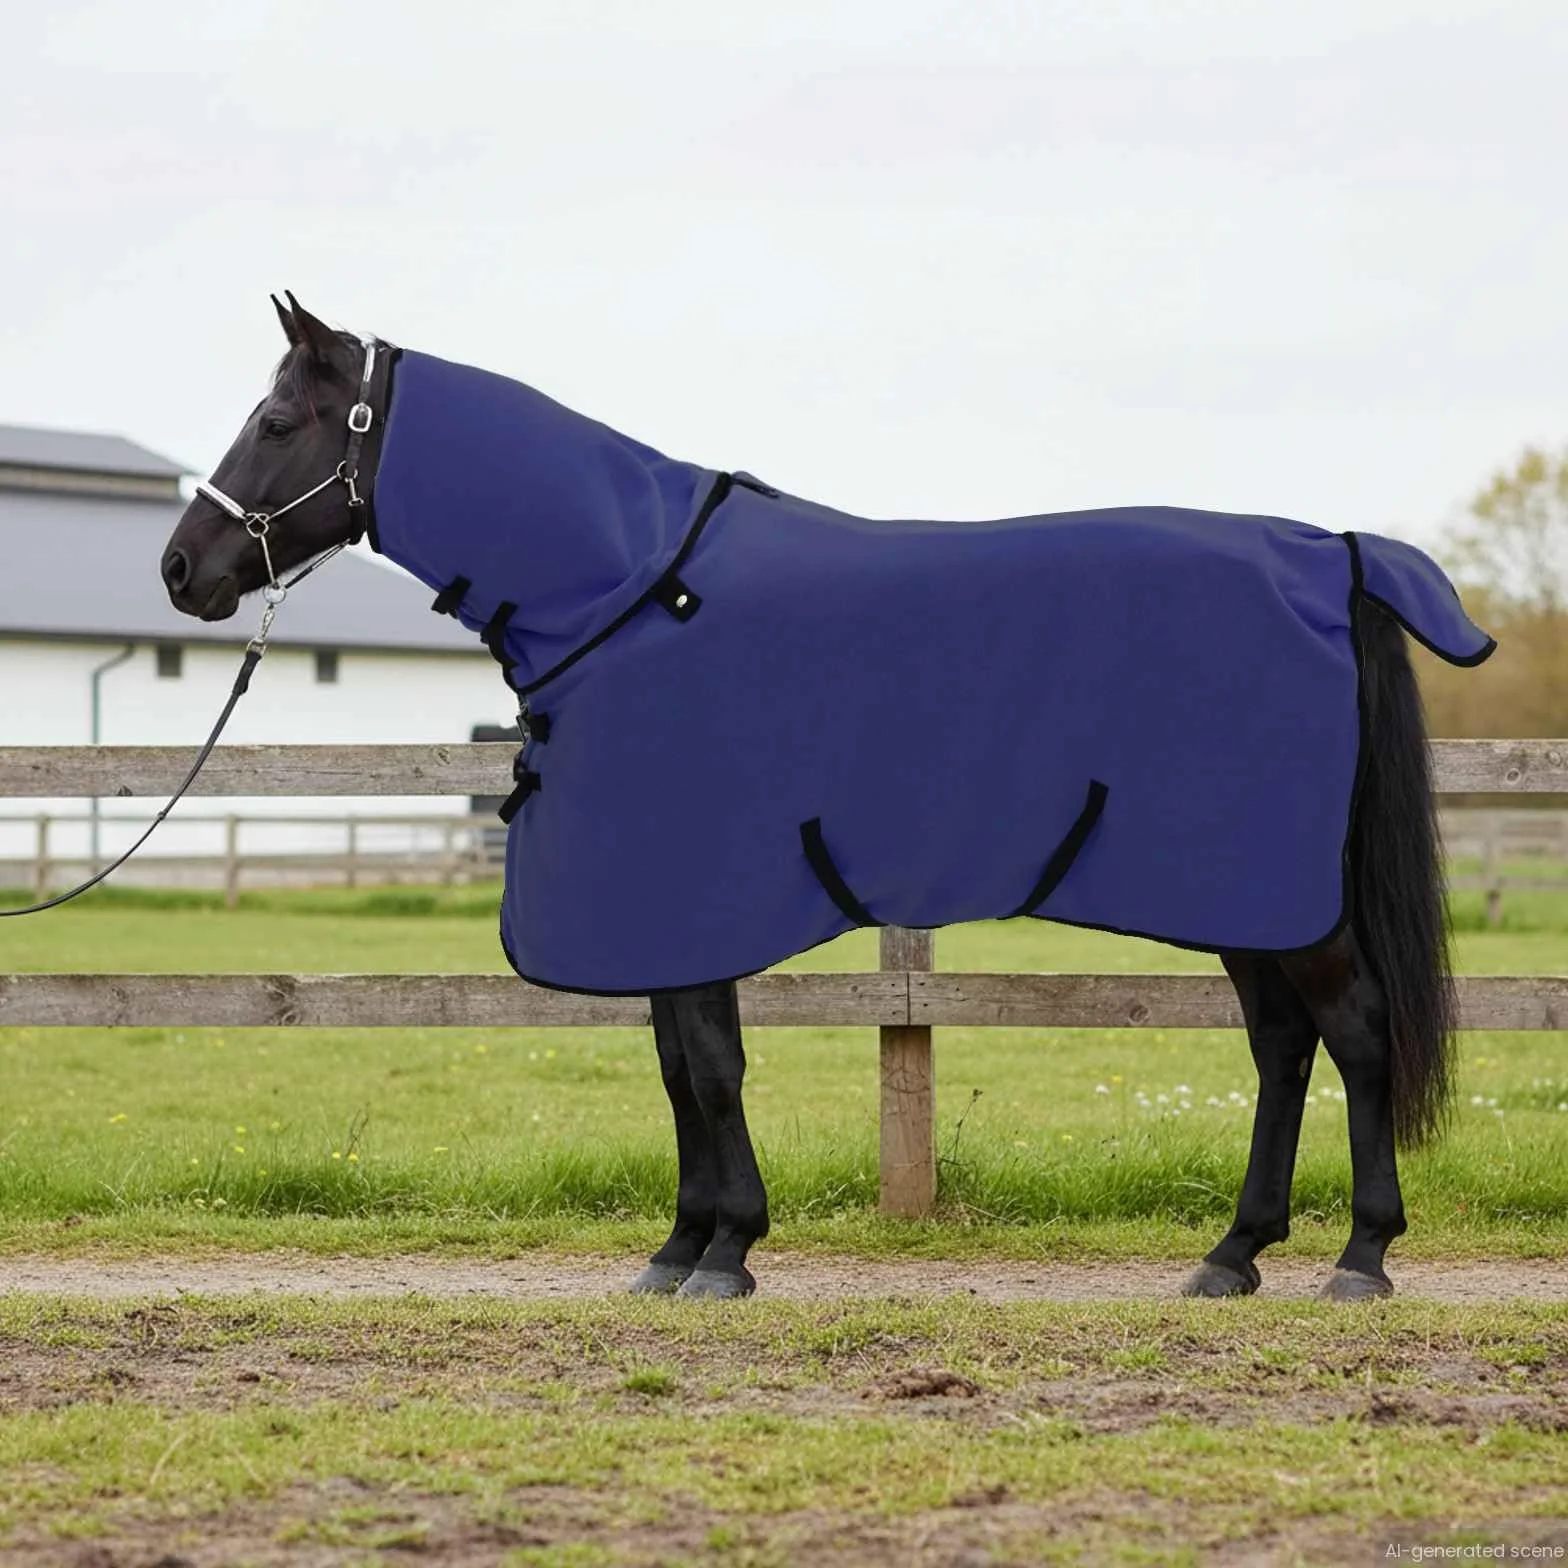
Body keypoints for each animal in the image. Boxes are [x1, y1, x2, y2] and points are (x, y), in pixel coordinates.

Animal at [161, 295, 1493, 1302]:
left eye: (275, 419)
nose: (182, 569)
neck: (632, 590)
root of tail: (1329, 552)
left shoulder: (691, 889)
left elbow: (708, 1067)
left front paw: (726, 1252)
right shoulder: (661, 906)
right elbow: (677, 1067)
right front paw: (678, 1247)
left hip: (1279, 896)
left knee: (1354, 1033)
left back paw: (1359, 1255)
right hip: (1240, 895)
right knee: (1280, 1045)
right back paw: (1233, 1253)